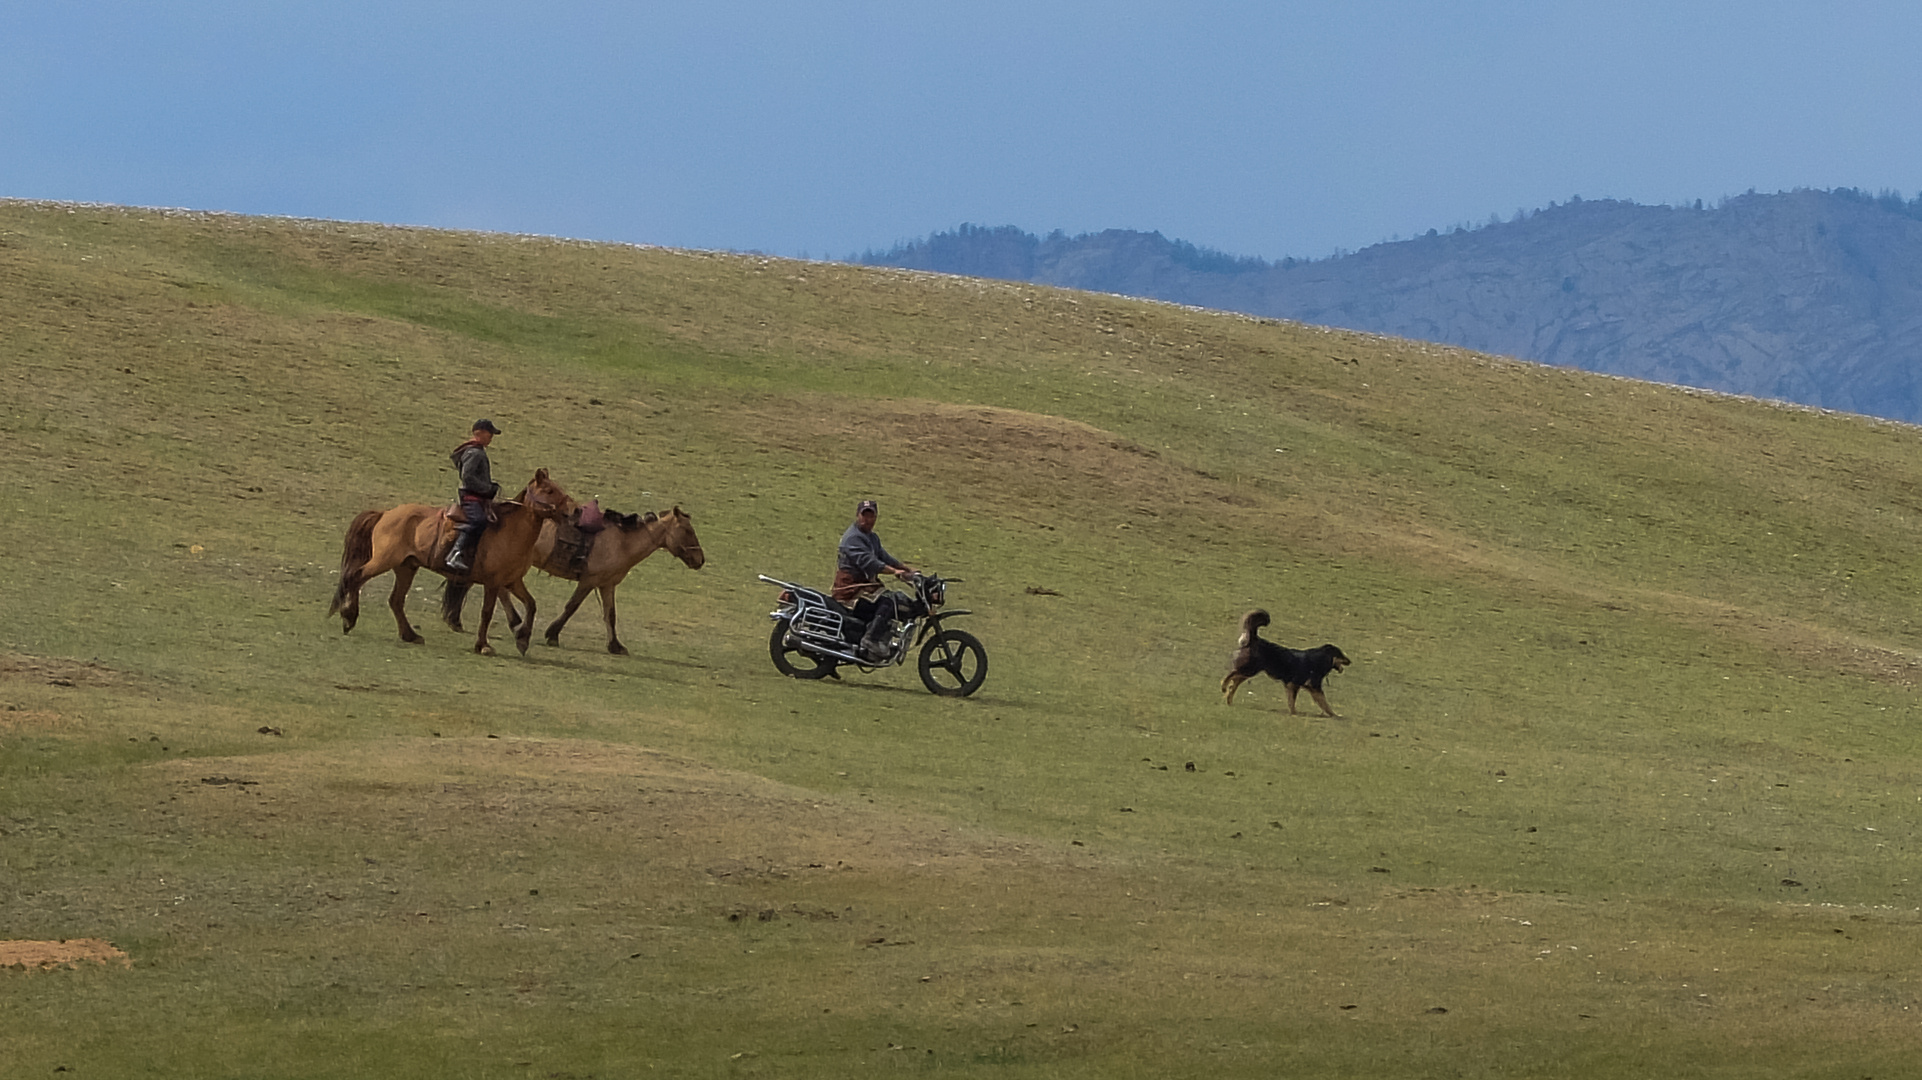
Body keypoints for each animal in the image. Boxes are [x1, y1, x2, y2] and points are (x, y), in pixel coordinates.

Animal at [322, 466, 572, 653]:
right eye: (549, 490)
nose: (572, 512)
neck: (511, 531)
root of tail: (386, 514)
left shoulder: (512, 581)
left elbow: (532, 604)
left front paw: (522, 639)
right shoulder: (493, 583)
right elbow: (487, 613)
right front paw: (483, 646)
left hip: (406, 567)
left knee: (395, 600)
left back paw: (410, 635)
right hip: (384, 561)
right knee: (356, 577)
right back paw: (349, 618)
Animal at [503, 503, 707, 645]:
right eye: (687, 530)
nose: (701, 559)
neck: (623, 542)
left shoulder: (607, 584)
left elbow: (610, 614)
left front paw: (615, 645)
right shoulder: (589, 581)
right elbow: (571, 606)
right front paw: (552, 634)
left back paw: (515, 622)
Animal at [1214, 611, 1353, 711]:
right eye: (1341, 654)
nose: (1350, 661)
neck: (1320, 659)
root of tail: (1255, 638)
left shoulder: (1299, 686)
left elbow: (1299, 702)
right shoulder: (1308, 686)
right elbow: (1323, 703)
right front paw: (1335, 715)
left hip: (1250, 671)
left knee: (1235, 681)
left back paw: (1228, 698)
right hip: (1250, 668)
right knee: (1232, 674)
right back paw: (1223, 686)